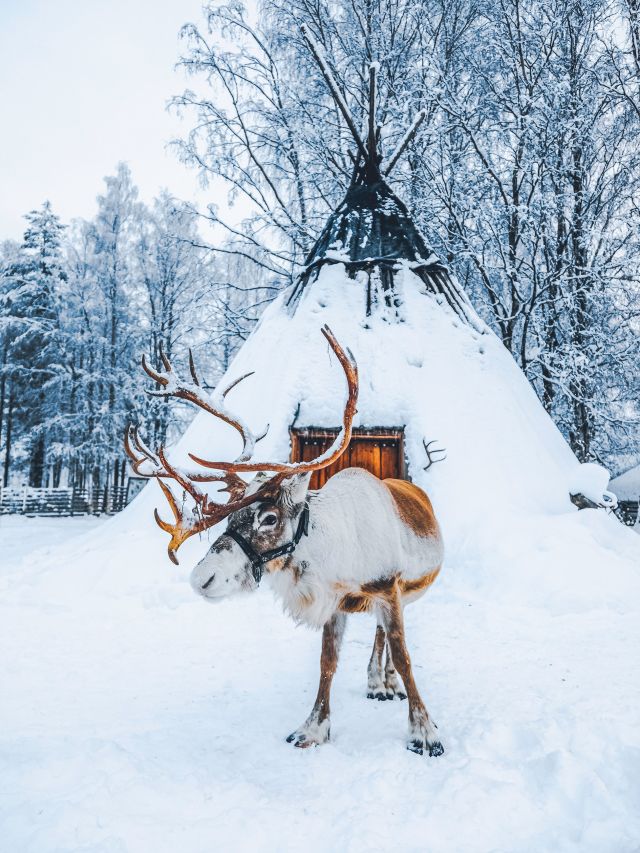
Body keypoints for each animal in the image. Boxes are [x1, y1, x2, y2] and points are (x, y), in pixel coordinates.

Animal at [125, 326, 445, 756]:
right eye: (232, 518)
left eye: (269, 518)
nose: (201, 578)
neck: (339, 551)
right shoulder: (336, 602)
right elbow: (327, 663)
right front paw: (312, 729)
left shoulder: (388, 587)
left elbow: (405, 656)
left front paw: (424, 732)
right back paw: (376, 683)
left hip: (405, 591)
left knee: (386, 636)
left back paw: (387, 683)